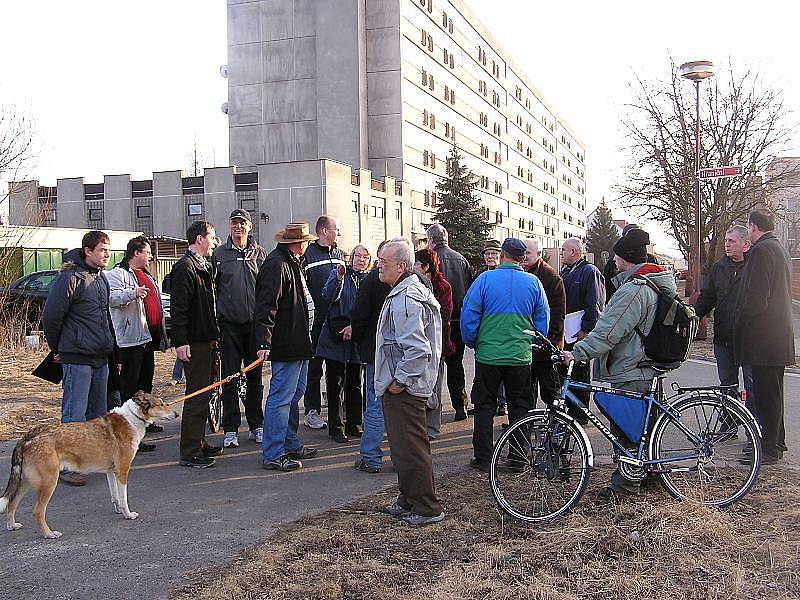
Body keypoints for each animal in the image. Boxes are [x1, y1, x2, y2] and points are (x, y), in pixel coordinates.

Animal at [0, 390, 180, 540]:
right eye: (162, 404)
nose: (177, 413)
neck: (132, 418)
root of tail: (27, 437)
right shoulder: (123, 471)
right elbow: (124, 498)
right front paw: (128, 515)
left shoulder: (111, 471)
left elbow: (115, 496)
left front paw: (119, 511)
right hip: (49, 482)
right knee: (37, 512)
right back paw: (49, 534)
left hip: (25, 482)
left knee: (11, 504)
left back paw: (12, 526)